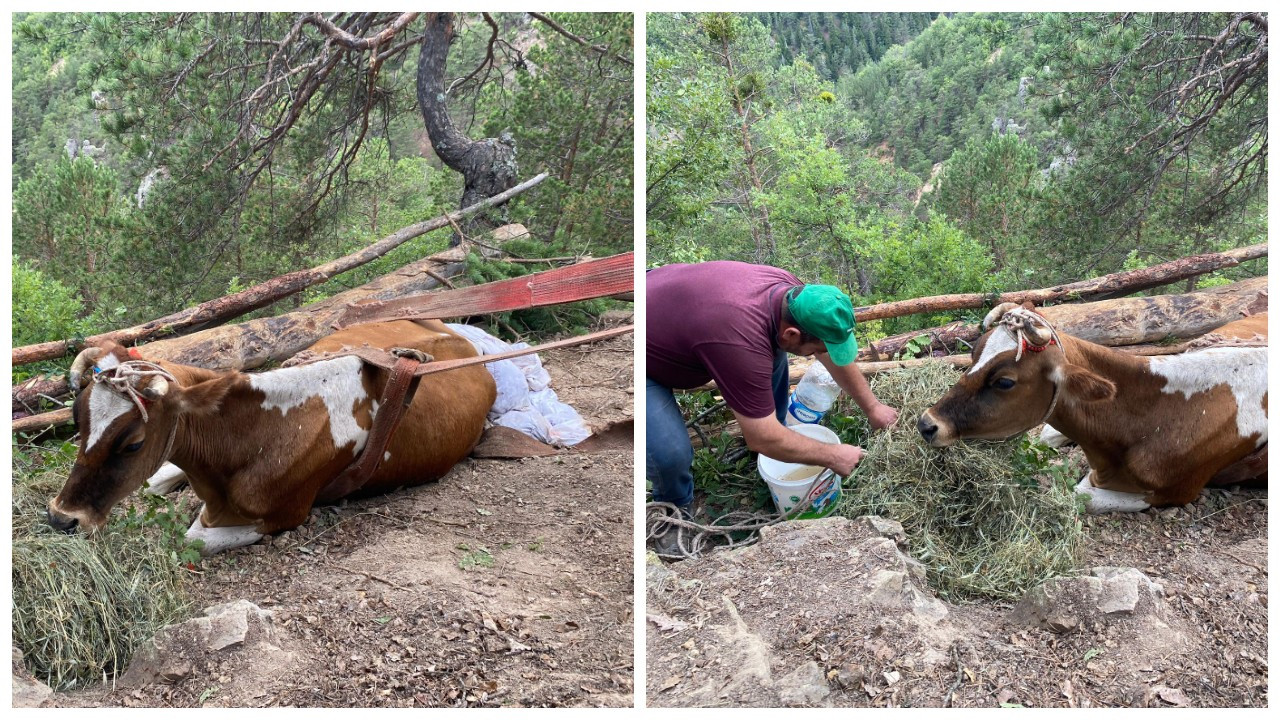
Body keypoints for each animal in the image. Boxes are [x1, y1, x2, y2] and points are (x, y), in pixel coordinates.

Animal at [45, 317, 494, 548]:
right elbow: (156, 484)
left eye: (134, 443)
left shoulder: (286, 515)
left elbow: (192, 538)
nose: (60, 518)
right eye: (77, 418)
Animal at [916, 302, 1264, 509]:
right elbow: (1046, 437)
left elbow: (1081, 494)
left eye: (1004, 382)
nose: (926, 423)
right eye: (974, 354)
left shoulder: (1175, 491)